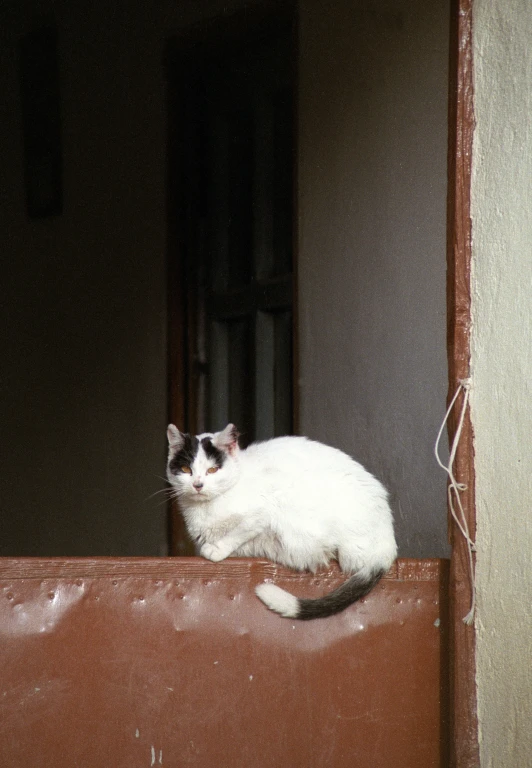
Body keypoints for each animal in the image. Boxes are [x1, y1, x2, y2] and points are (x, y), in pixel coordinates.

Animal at [168, 424, 396, 620]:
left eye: (213, 470)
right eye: (186, 470)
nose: (198, 485)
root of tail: (388, 544)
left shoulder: (262, 512)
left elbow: (238, 532)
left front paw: (216, 549)